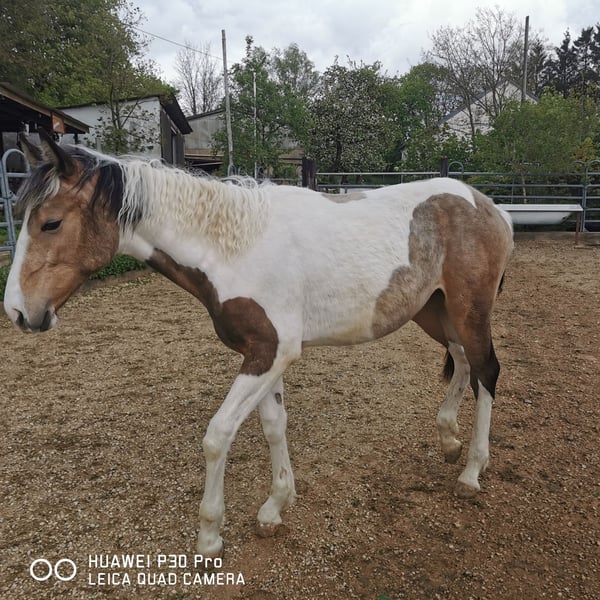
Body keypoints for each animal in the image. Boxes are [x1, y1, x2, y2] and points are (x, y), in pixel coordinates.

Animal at [4, 130, 513, 558]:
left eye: (51, 223)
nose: (17, 312)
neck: (233, 249)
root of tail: (488, 205)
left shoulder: (270, 353)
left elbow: (218, 435)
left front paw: (210, 535)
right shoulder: (263, 356)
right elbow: (273, 426)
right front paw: (275, 506)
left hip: (468, 310)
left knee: (486, 371)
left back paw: (471, 472)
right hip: (436, 311)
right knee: (463, 362)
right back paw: (448, 439)